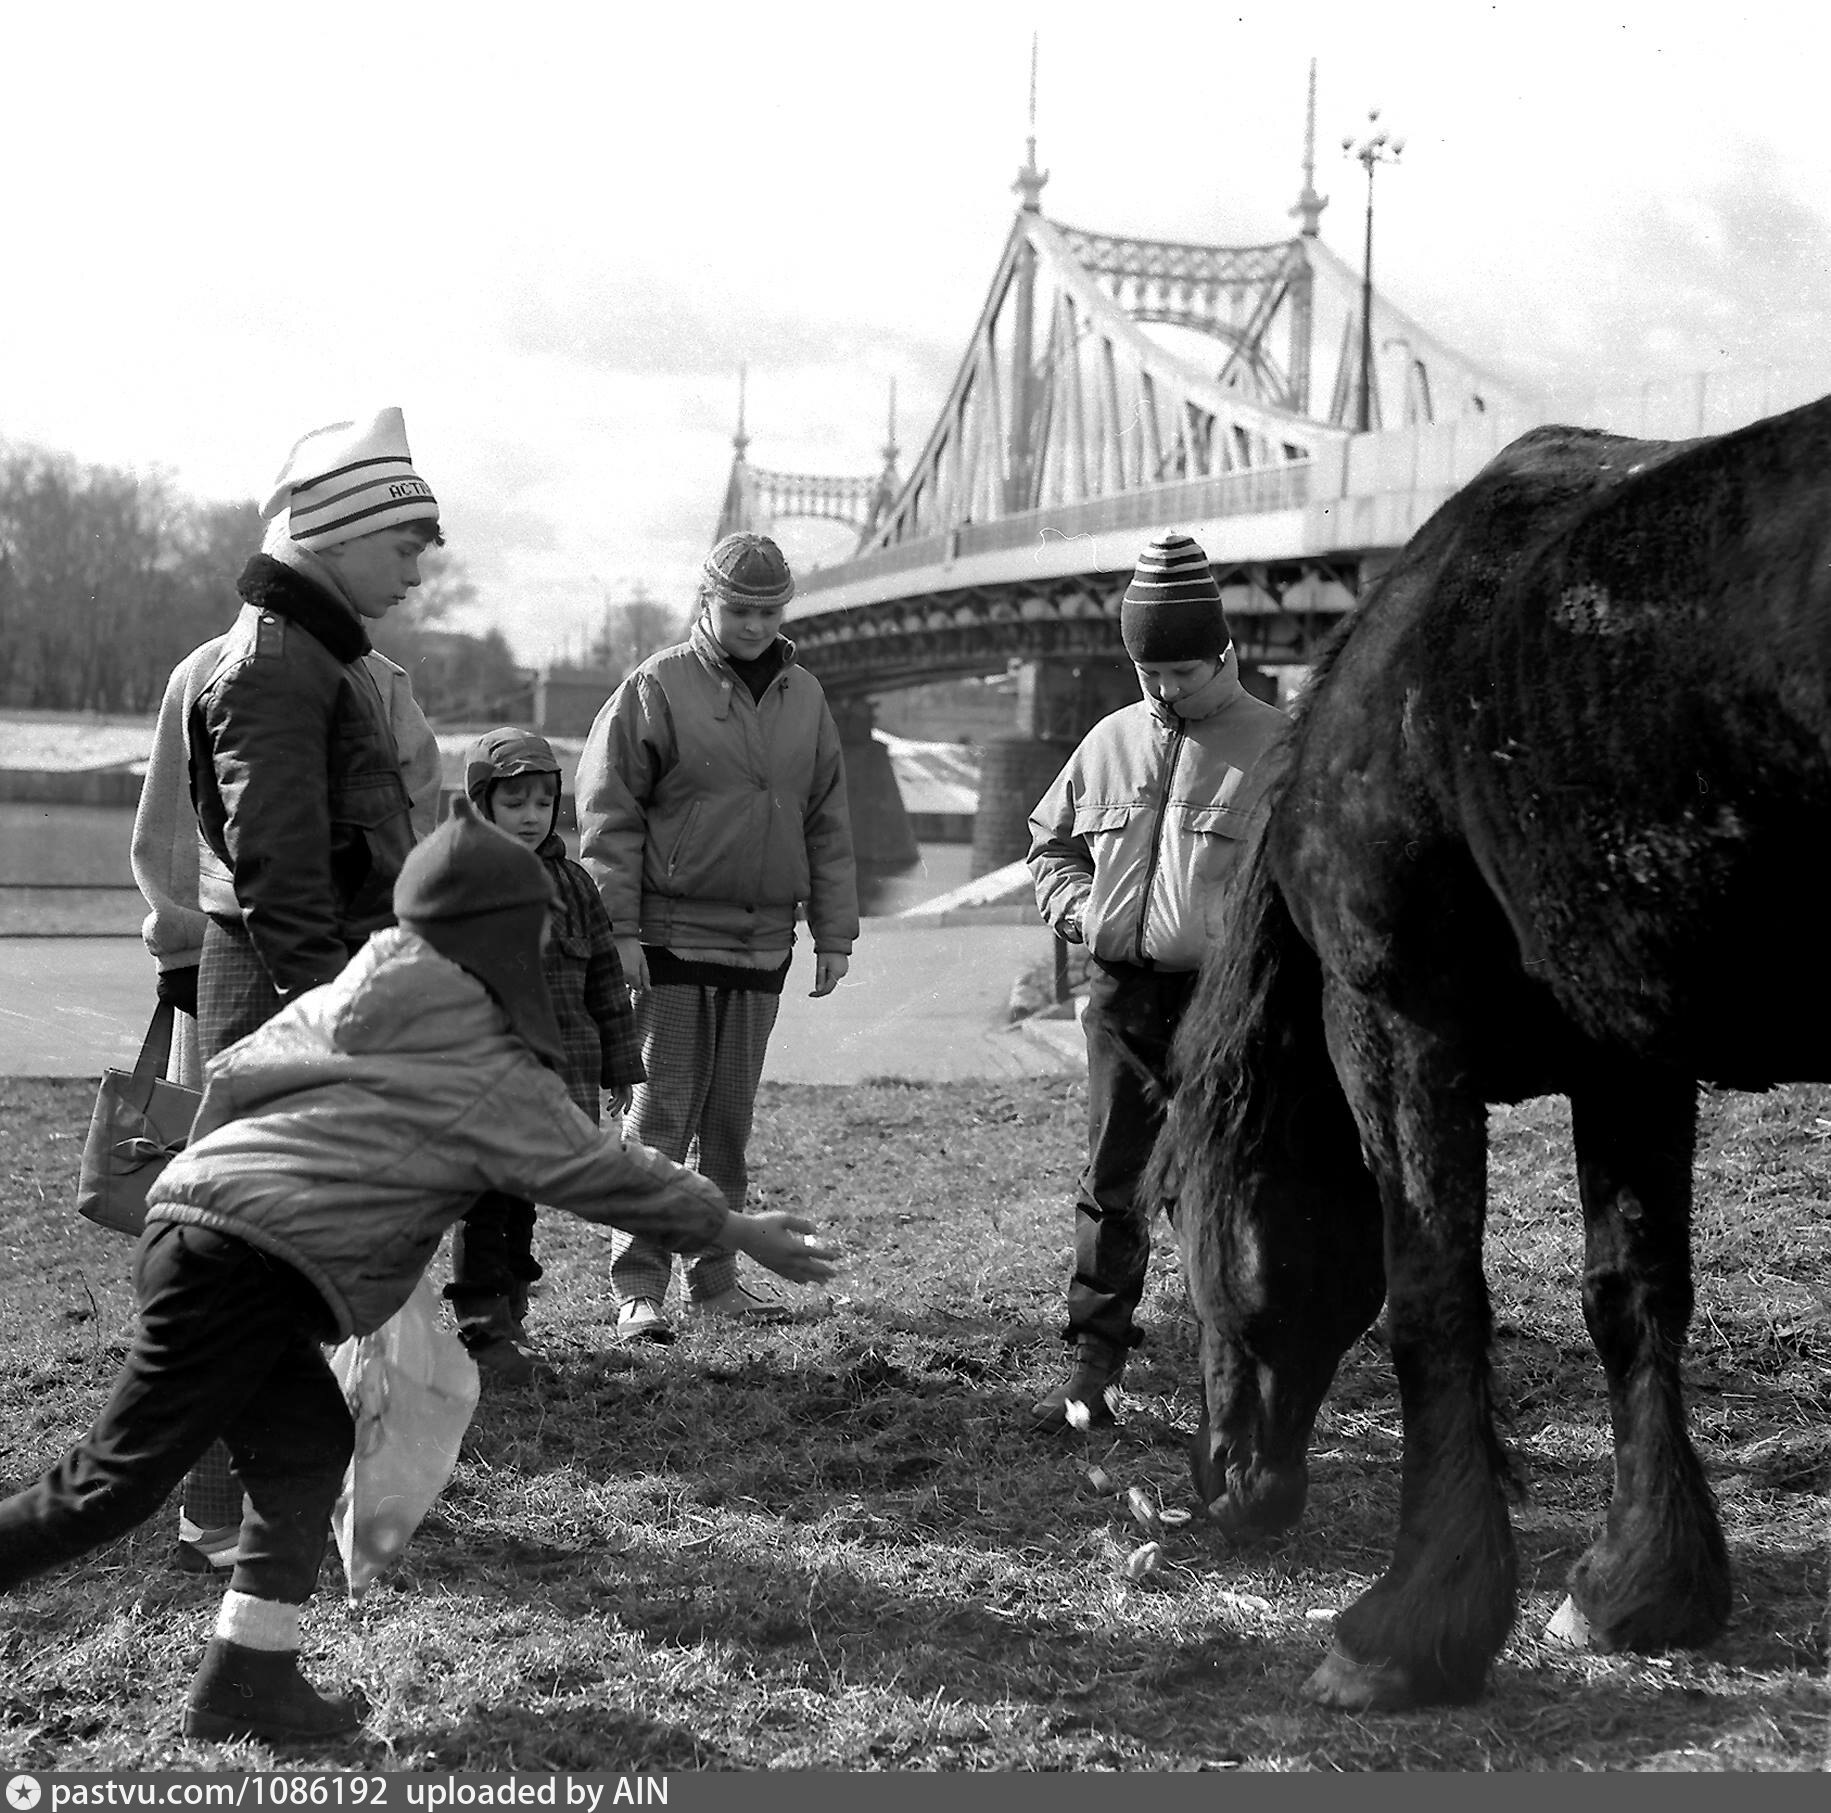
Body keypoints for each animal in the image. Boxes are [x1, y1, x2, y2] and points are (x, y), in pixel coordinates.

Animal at [1149, 397, 1831, 1714]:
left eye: (1175, 1209)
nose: (1224, 1483)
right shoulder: (1627, 1062)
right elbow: (1633, 1296)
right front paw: (1641, 1583)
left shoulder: (1397, 1029)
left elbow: (1434, 1305)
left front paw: (1410, 1627)